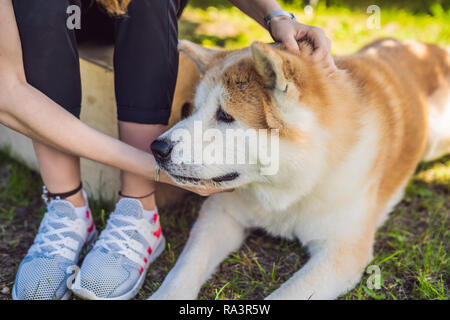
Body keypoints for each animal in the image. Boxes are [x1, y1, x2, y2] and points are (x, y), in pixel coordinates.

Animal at [149, 38, 448, 300]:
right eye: (194, 109)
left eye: (225, 115)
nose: (157, 148)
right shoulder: (220, 214)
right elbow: (184, 269)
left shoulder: (342, 251)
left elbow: (287, 294)